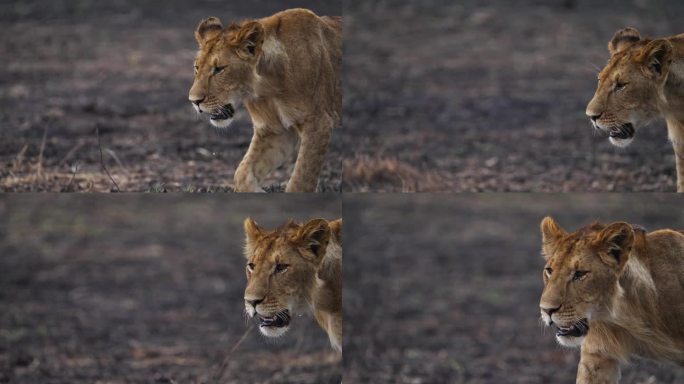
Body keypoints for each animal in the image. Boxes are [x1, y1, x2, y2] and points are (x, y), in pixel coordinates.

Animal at [188, 9, 340, 192]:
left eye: (219, 69)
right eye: (197, 67)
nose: (193, 101)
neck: (268, 87)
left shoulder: (319, 123)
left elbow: (301, 181)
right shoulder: (275, 131)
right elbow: (241, 174)